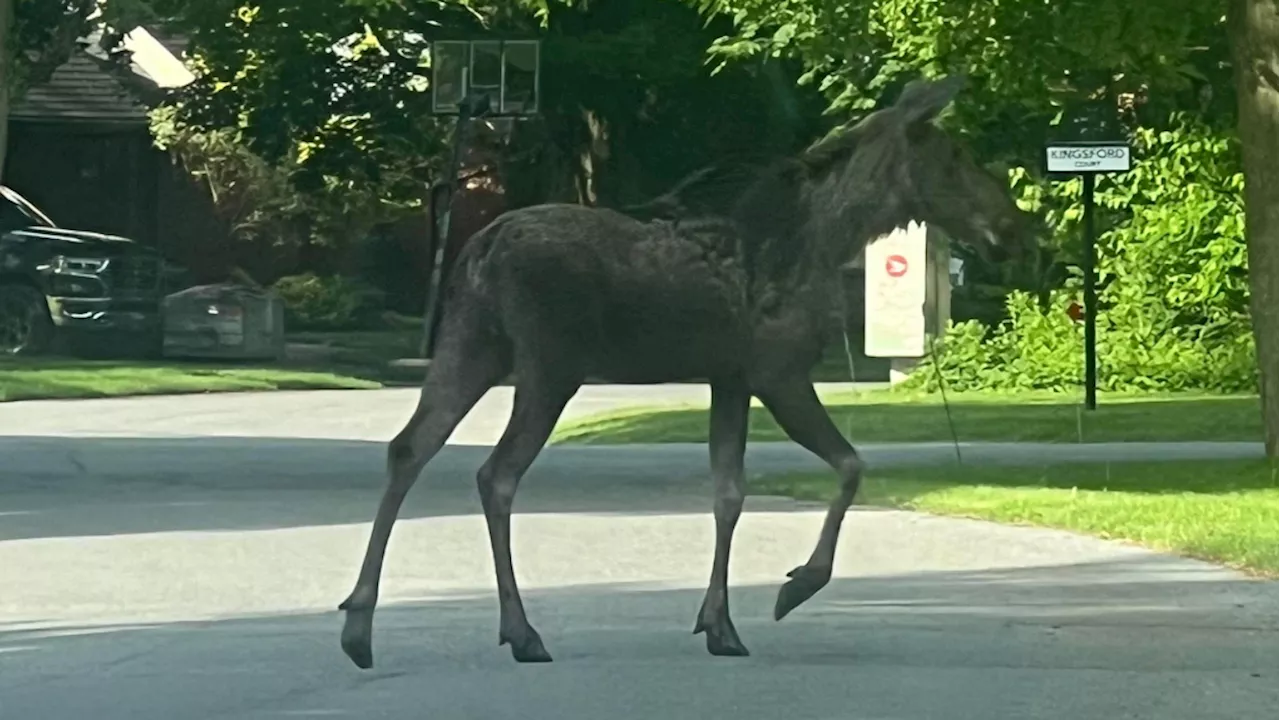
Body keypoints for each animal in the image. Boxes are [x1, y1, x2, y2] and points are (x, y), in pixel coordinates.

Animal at [337, 75, 1029, 666]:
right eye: (956, 156)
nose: (1012, 225)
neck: (829, 240)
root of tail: (477, 250)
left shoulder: (730, 378)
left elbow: (729, 492)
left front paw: (718, 624)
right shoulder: (777, 372)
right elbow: (850, 465)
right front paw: (795, 586)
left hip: (472, 348)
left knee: (409, 448)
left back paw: (358, 624)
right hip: (549, 366)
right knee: (495, 474)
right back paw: (520, 631)